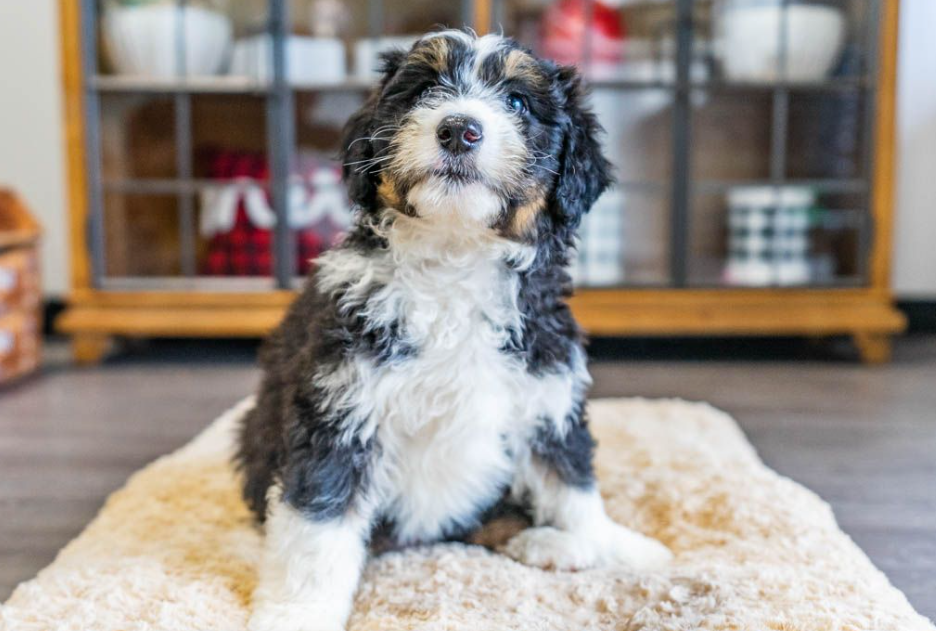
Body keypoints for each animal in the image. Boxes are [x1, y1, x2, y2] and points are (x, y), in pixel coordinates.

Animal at [238, 29, 668, 631]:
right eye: (424, 91)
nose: (459, 129)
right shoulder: (337, 410)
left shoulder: (547, 392)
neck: (456, 257)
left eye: (517, 102)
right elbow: (316, 531)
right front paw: (296, 613)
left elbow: (572, 484)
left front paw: (615, 546)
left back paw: (553, 544)